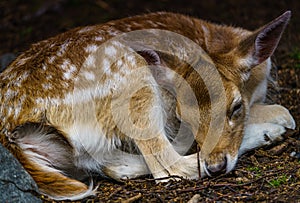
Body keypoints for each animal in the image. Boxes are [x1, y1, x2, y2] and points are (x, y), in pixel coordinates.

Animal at [0, 10, 296, 199]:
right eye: (184, 117)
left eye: (235, 107)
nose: (216, 166)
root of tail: (10, 131)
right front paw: (279, 120)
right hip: (133, 77)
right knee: (169, 167)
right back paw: (271, 131)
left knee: (113, 165)